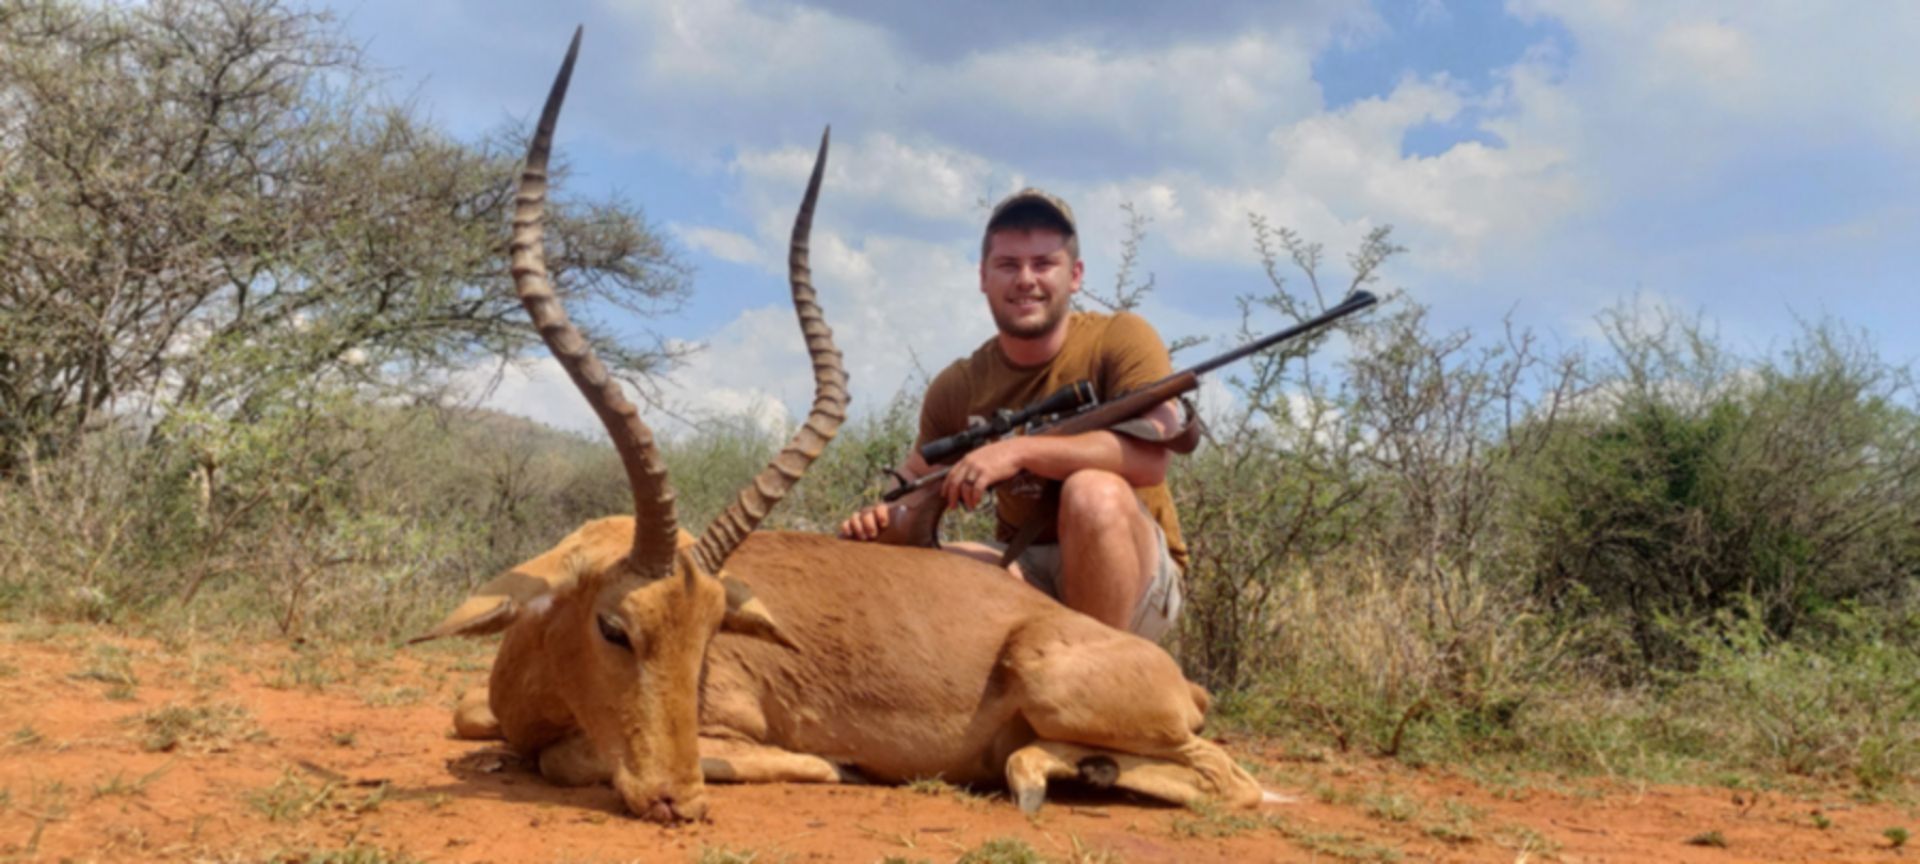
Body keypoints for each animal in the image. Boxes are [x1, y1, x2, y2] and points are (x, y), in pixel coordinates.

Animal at [414, 29, 1273, 824]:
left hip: (1065, 686)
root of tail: (1171, 673)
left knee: (1229, 779)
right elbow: (466, 715)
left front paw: (831, 766)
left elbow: (566, 756)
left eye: (710, 632)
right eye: (614, 628)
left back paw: (1038, 774)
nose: (680, 798)